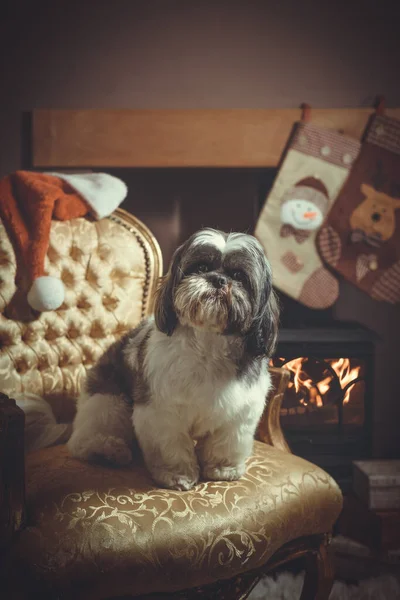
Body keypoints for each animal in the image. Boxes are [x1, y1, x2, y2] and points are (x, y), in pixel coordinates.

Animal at [67, 227, 280, 490]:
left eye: (239, 275)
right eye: (200, 267)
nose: (218, 280)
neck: (209, 346)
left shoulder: (239, 413)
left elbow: (225, 442)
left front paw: (223, 468)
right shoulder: (161, 410)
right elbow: (171, 446)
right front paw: (176, 474)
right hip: (109, 401)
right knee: (84, 439)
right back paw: (108, 450)